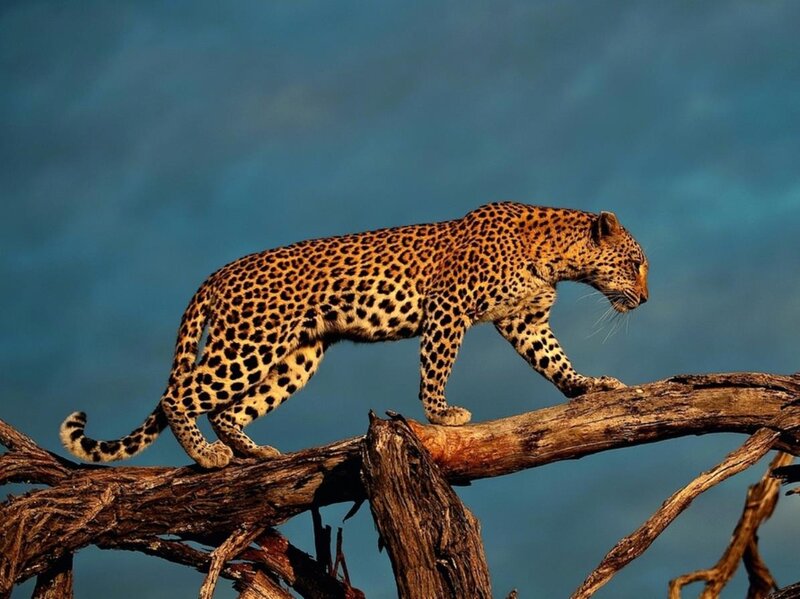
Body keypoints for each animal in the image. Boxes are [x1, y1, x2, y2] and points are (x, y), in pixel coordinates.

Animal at [60, 202, 649, 469]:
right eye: (635, 263)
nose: (644, 300)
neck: (558, 258)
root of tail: (218, 273)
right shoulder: (448, 308)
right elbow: (436, 365)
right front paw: (442, 415)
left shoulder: (525, 321)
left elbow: (555, 362)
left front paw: (590, 387)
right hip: (250, 343)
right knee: (180, 394)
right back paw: (208, 456)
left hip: (296, 355)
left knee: (228, 409)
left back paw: (256, 452)